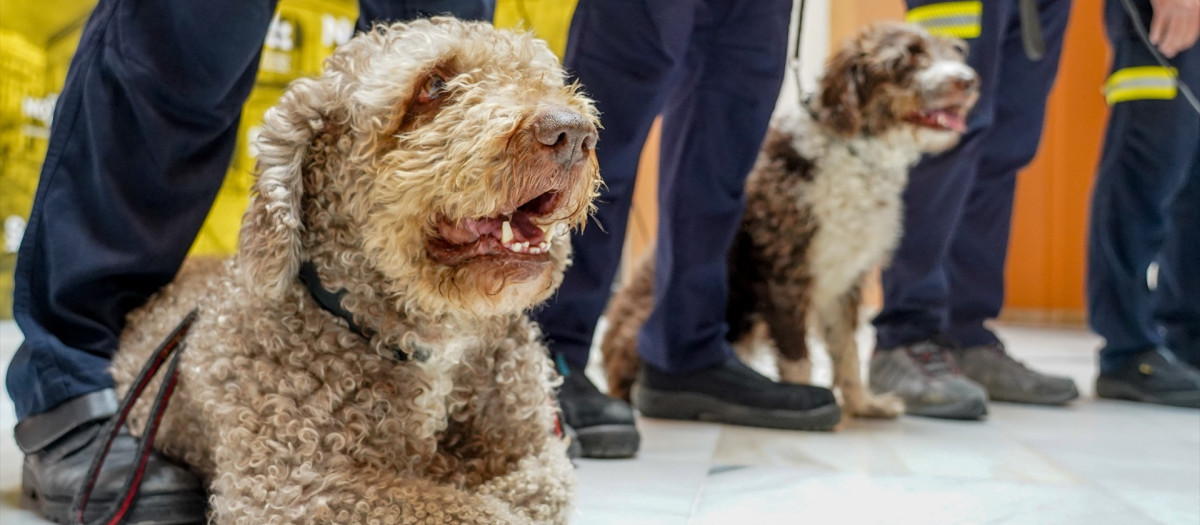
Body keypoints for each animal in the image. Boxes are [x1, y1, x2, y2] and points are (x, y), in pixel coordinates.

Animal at [106, 18, 600, 522]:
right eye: (434, 85)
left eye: (538, 75)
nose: (572, 133)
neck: (434, 340)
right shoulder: (290, 487)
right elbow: (471, 508)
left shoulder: (539, 454)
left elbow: (529, 489)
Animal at [604, 22, 979, 419]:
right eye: (907, 58)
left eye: (951, 51)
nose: (968, 81)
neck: (853, 151)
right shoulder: (785, 271)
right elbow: (797, 355)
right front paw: (803, 399)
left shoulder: (845, 277)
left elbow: (846, 350)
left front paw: (863, 404)